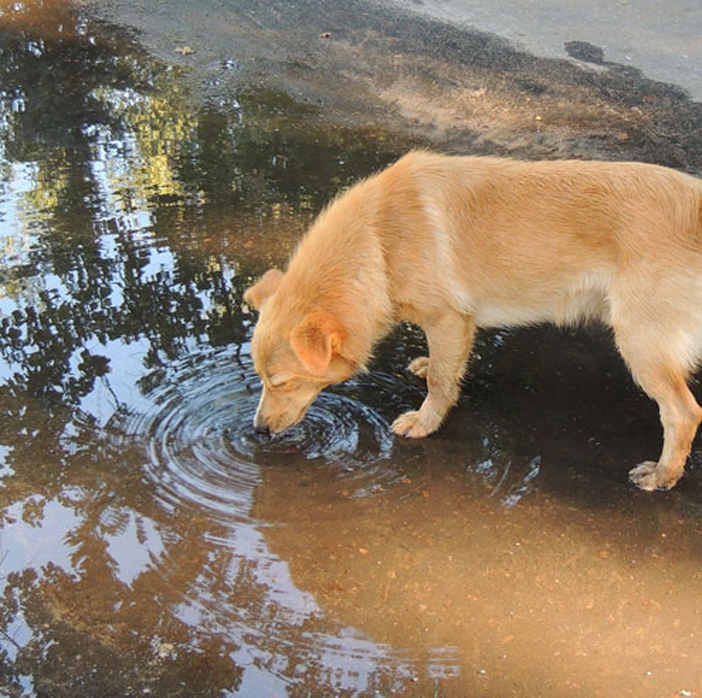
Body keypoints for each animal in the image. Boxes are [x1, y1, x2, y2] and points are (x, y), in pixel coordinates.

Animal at [245, 152, 702, 490]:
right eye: (262, 379)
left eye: (280, 382)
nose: (259, 432)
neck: (377, 241)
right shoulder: (456, 326)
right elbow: (445, 369)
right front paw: (429, 367)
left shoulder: (446, 318)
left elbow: (440, 384)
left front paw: (425, 422)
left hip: (641, 345)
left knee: (683, 413)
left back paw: (664, 475)